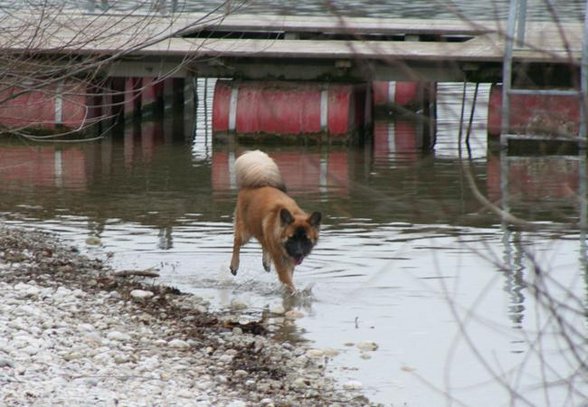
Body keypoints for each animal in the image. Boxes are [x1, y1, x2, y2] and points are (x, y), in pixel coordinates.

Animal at [230, 151, 322, 292]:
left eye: (306, 239)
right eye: (292, 238)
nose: (298, 253)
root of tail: (260, 183)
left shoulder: (289, 261)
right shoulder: (281, 262)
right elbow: (288, 283)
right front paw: (294, 294)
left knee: (263, 243)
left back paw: (266, 262)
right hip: (245, 232)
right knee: (237, 243)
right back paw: (234, 265)